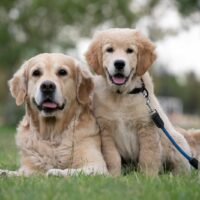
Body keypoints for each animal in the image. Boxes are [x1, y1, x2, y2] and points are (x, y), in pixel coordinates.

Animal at [85, 28, 192, 175]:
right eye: (109, 50)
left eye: (130, 50)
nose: (119, 63)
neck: (122, 95)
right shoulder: (106, 129)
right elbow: (112, 157)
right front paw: (114, 176)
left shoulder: (147, 127)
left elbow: (148, 157)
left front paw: (148, 177)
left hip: (176, 142)